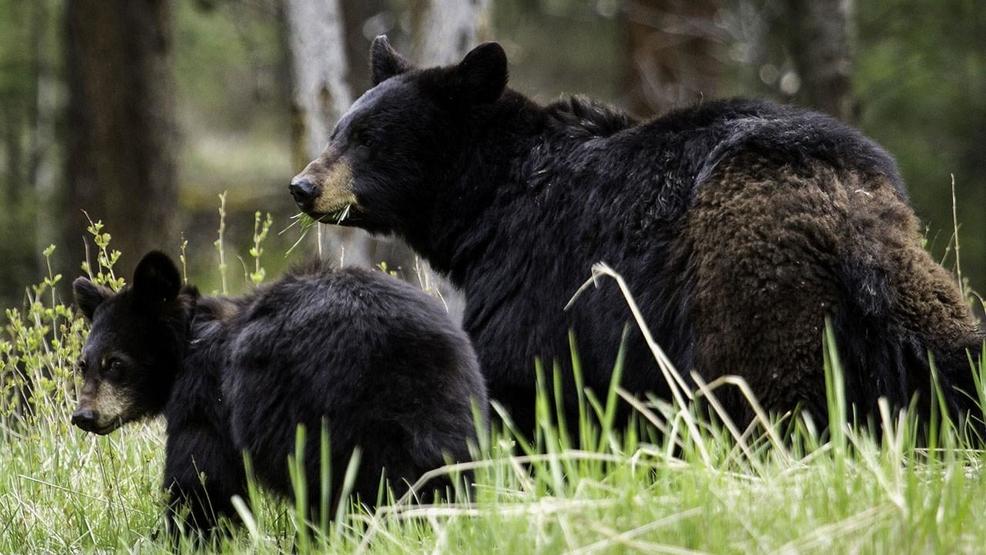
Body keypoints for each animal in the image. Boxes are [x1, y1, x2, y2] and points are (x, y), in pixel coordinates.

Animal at [71, 251, 486, 538]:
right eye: (83, 364)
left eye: (115, 363)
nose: (83, 416)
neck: (191, 341)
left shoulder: (207, 400)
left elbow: (202, 482)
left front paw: (179, 534)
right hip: (454, 409)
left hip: (326, 417)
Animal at [289, 36, 984, 435]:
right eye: (340, 129)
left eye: (370, 139)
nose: (303, 187)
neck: (490, 202)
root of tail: (846, 211)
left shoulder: (539, 277)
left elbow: (525, 381)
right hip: (912, 300)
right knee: (952, 365)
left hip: (753, 297)